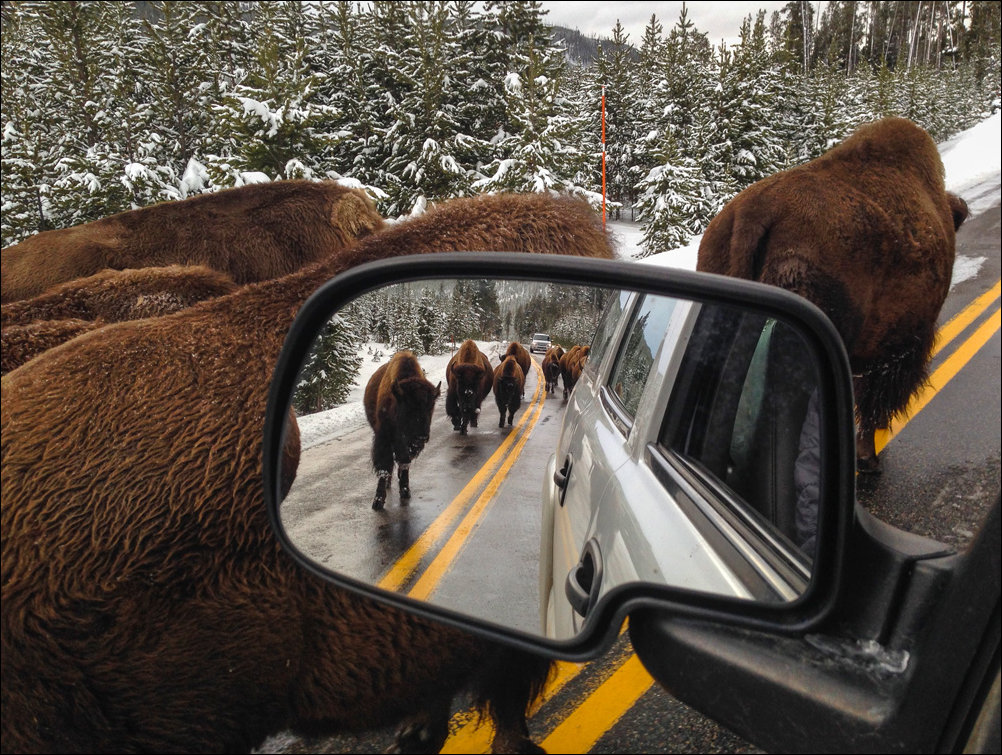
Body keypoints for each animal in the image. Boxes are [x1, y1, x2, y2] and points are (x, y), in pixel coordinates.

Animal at [360, 350, 438, 509]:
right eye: (409, 407)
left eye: (430, 407)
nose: (421, 437)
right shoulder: (384, 438)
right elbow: (384, 467)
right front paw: (378, 501)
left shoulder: (405, 446)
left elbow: (404, 464)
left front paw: (405, 491)